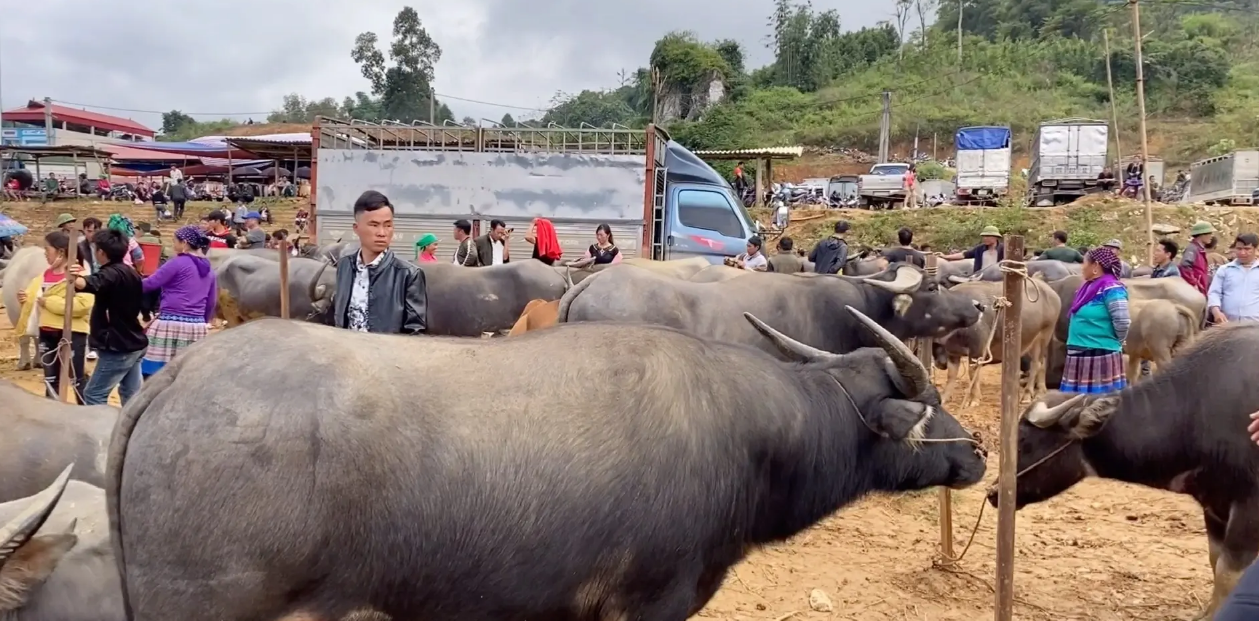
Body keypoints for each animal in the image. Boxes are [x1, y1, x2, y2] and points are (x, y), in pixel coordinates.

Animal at [992, 322, 1259, 617]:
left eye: (1024, 441)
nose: (994, 494)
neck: (1197, 412)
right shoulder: (1212, 506)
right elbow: (1214, 560)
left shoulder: (1248, 508)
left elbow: (1227, 574)